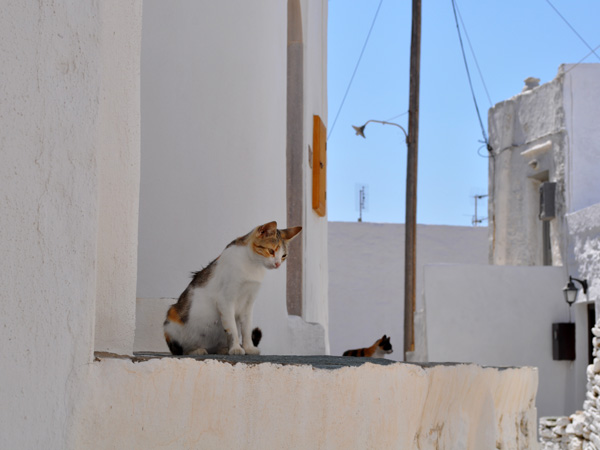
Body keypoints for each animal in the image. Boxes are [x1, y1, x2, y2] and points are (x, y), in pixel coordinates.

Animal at [163, 221, 300, 356]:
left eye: (284, 256)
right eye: (271, 251)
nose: (277, 264)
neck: (253, 265)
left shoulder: (249, 303)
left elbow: (246, 329)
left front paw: (248, 348)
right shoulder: (225, 299)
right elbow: (232, 329)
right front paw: (236, 348)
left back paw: (222, 349)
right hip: (172, 317)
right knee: (179, 351)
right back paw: (196, 350)